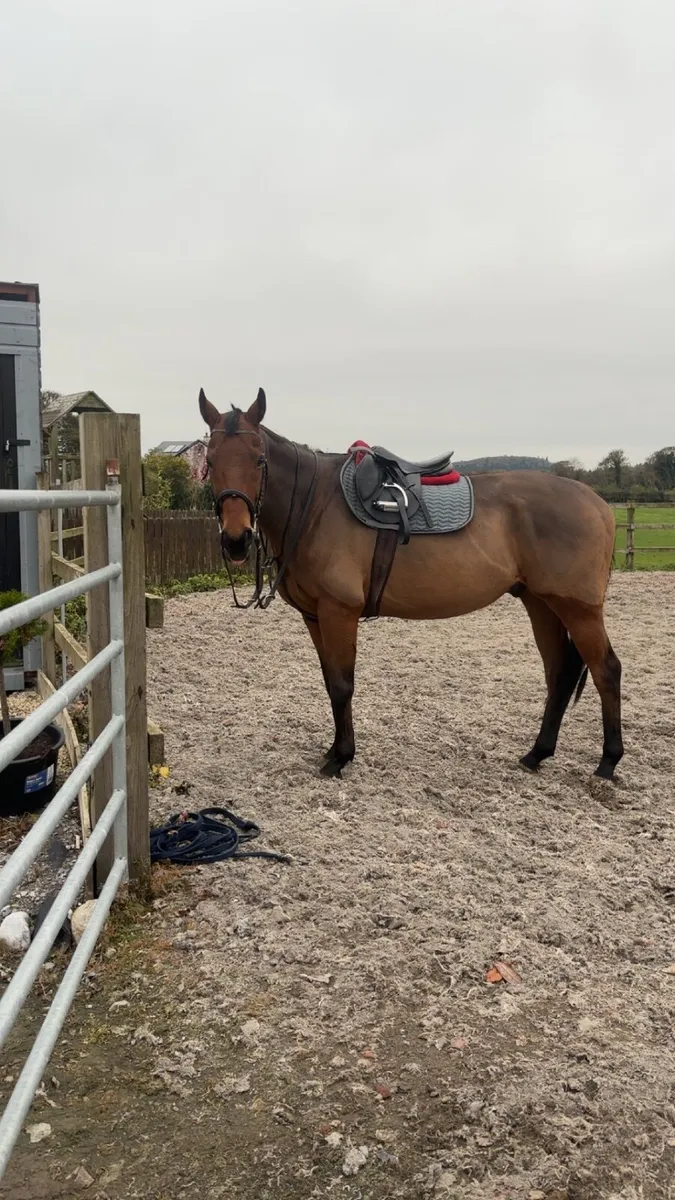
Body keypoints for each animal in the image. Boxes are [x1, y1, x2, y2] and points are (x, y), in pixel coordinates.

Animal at [198, 387, 623, 782]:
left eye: (259, 459)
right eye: (210, 460)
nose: (236, 540)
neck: (314, 504)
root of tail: (599, 504)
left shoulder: (339, 612)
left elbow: (342, 684)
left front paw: (342, 757)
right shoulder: (315, 617)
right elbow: (330, 682)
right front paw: (334, 748)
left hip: (578, 609)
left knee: (606, 670)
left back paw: (608, 762)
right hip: (541, 603)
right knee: (559, 674)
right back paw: (538, 753)